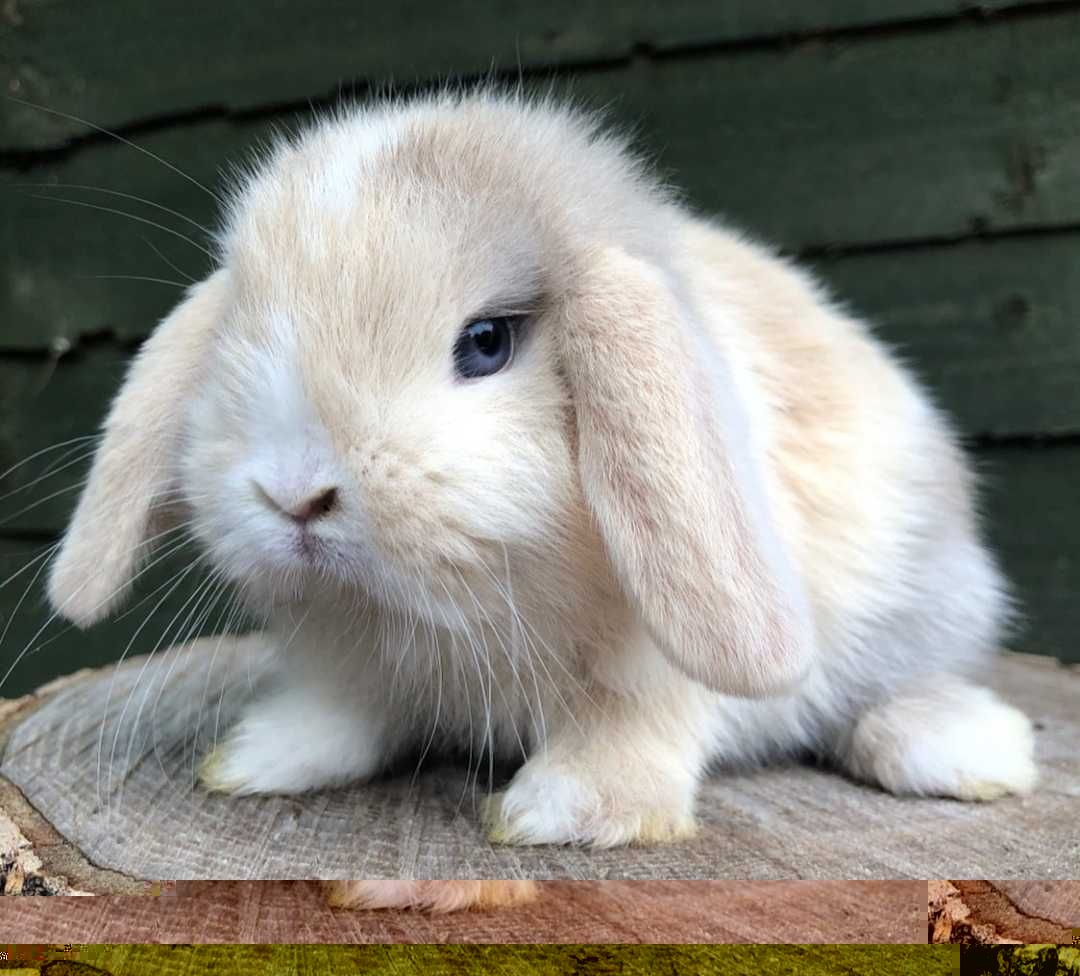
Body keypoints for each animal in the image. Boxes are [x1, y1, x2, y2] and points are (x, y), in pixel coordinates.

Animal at [44, 87, 1036, 850]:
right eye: (237, 337)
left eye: (486, 343)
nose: (295, 495)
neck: (446, 612)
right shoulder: (356, 663)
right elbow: (346, 711)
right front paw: (263, 758)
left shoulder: (652, 669)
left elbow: (633, 727)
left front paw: (562, 813)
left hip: (926, 599)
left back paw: (969, 748)